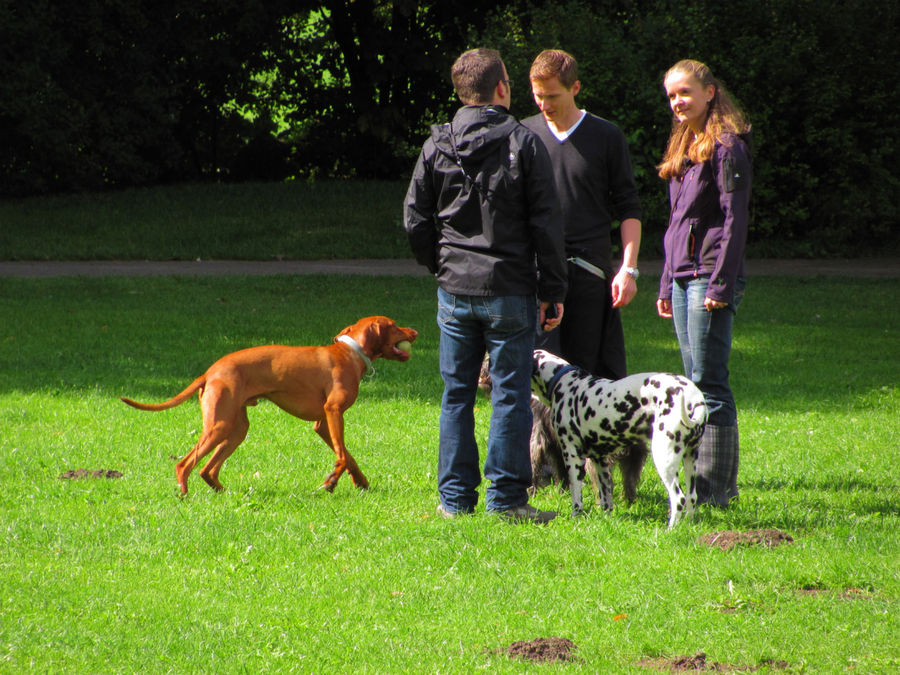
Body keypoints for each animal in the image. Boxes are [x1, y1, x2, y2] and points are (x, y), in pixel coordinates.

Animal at [122, 316, 418, 496]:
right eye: (394, 325)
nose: (415, 331)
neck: (351, 353)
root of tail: (210, 371)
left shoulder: (323, 423)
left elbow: (347, 455)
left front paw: (360, 482)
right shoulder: (333, 413)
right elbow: (343, 456)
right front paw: (331, 481)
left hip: (236, 429)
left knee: (208, 469)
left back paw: (224, 494)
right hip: (220, 426)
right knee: (185, 465)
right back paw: (184, 494)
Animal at [532, 352, 708, 532]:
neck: (564, 382)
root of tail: (694, 398)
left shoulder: (573, 458)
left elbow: (576, 498)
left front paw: (576, 518)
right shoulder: (600, 462)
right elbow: (606, 498)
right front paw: (605, 519)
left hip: (664, 460)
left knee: (678, 498)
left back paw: (669, 530)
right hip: (690, 460)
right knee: (691, 497)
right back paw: (687, 525)